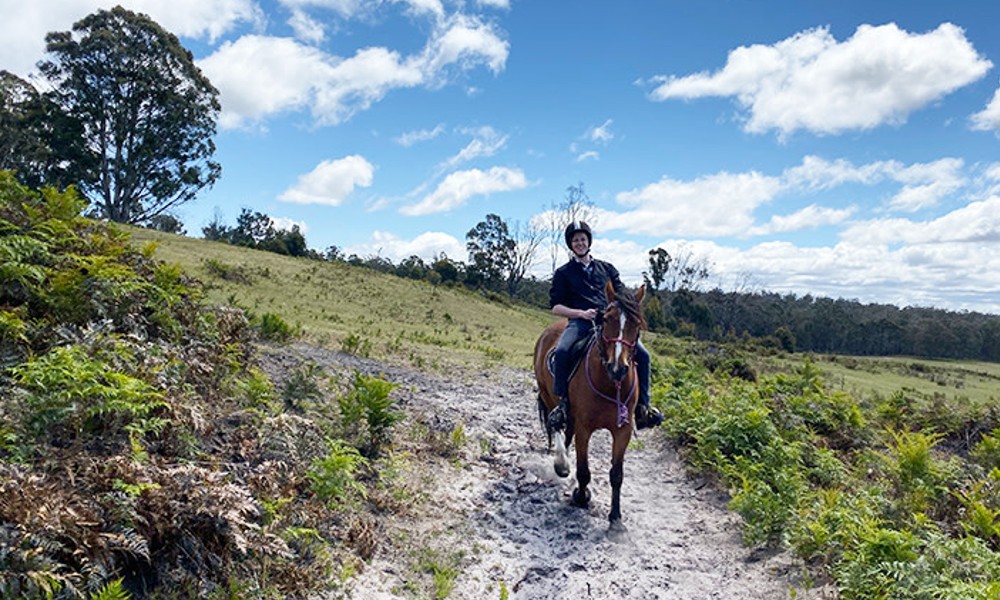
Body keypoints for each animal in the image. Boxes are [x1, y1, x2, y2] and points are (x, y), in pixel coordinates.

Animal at [532, 278, 648, 528]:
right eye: (607, 319)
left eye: (637, 323)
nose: (618, 368)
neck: (609, 384)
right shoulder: (585, 428)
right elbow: (584, 469)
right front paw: (581, 496)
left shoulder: (622, 431)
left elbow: (616, 474)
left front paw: (616, 517)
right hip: (548, 395)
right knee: (556, 425)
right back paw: (561, 465)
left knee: (566, 433)